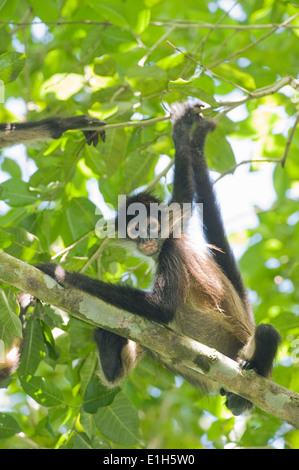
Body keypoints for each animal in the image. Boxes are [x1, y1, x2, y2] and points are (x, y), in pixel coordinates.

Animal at [1, 103, 282, 414]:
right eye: (136, 229)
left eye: (151, 226)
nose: (146, 240)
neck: (163, 244)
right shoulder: (176, 225)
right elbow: (185, 194)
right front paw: (182, 134)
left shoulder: (172, 248)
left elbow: (162, 309)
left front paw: (62, 274)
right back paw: (110, 359)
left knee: (267, 333)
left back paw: (245, 388)